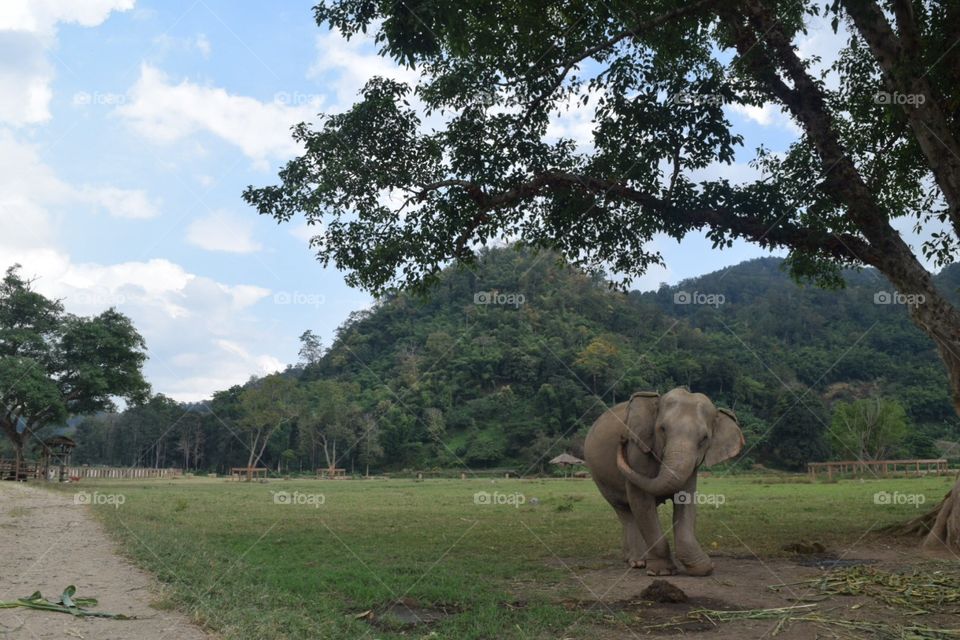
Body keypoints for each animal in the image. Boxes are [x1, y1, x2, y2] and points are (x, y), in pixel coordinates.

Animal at [584, 387, 744, 576]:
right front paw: (662, 572)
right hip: (600, 478)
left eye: (704, 438)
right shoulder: (637, 450)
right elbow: (641, 499)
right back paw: (637, 562)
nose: (622, 439)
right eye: (662, 429)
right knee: (625, 511)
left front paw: (703, 567)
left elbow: (686, 500)